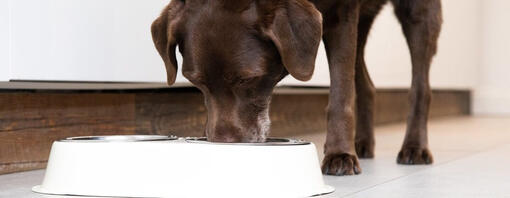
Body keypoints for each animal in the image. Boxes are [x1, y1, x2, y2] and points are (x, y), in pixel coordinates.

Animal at [151, 0, 442, 176]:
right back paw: (363, 142)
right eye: (196, 81)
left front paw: (339, 154)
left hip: (419, 13)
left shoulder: (343, 13)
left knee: (420, 87)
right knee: (367, 85)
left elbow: (340, 95)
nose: (224, 144)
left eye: (248, 79)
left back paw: (414, 147)